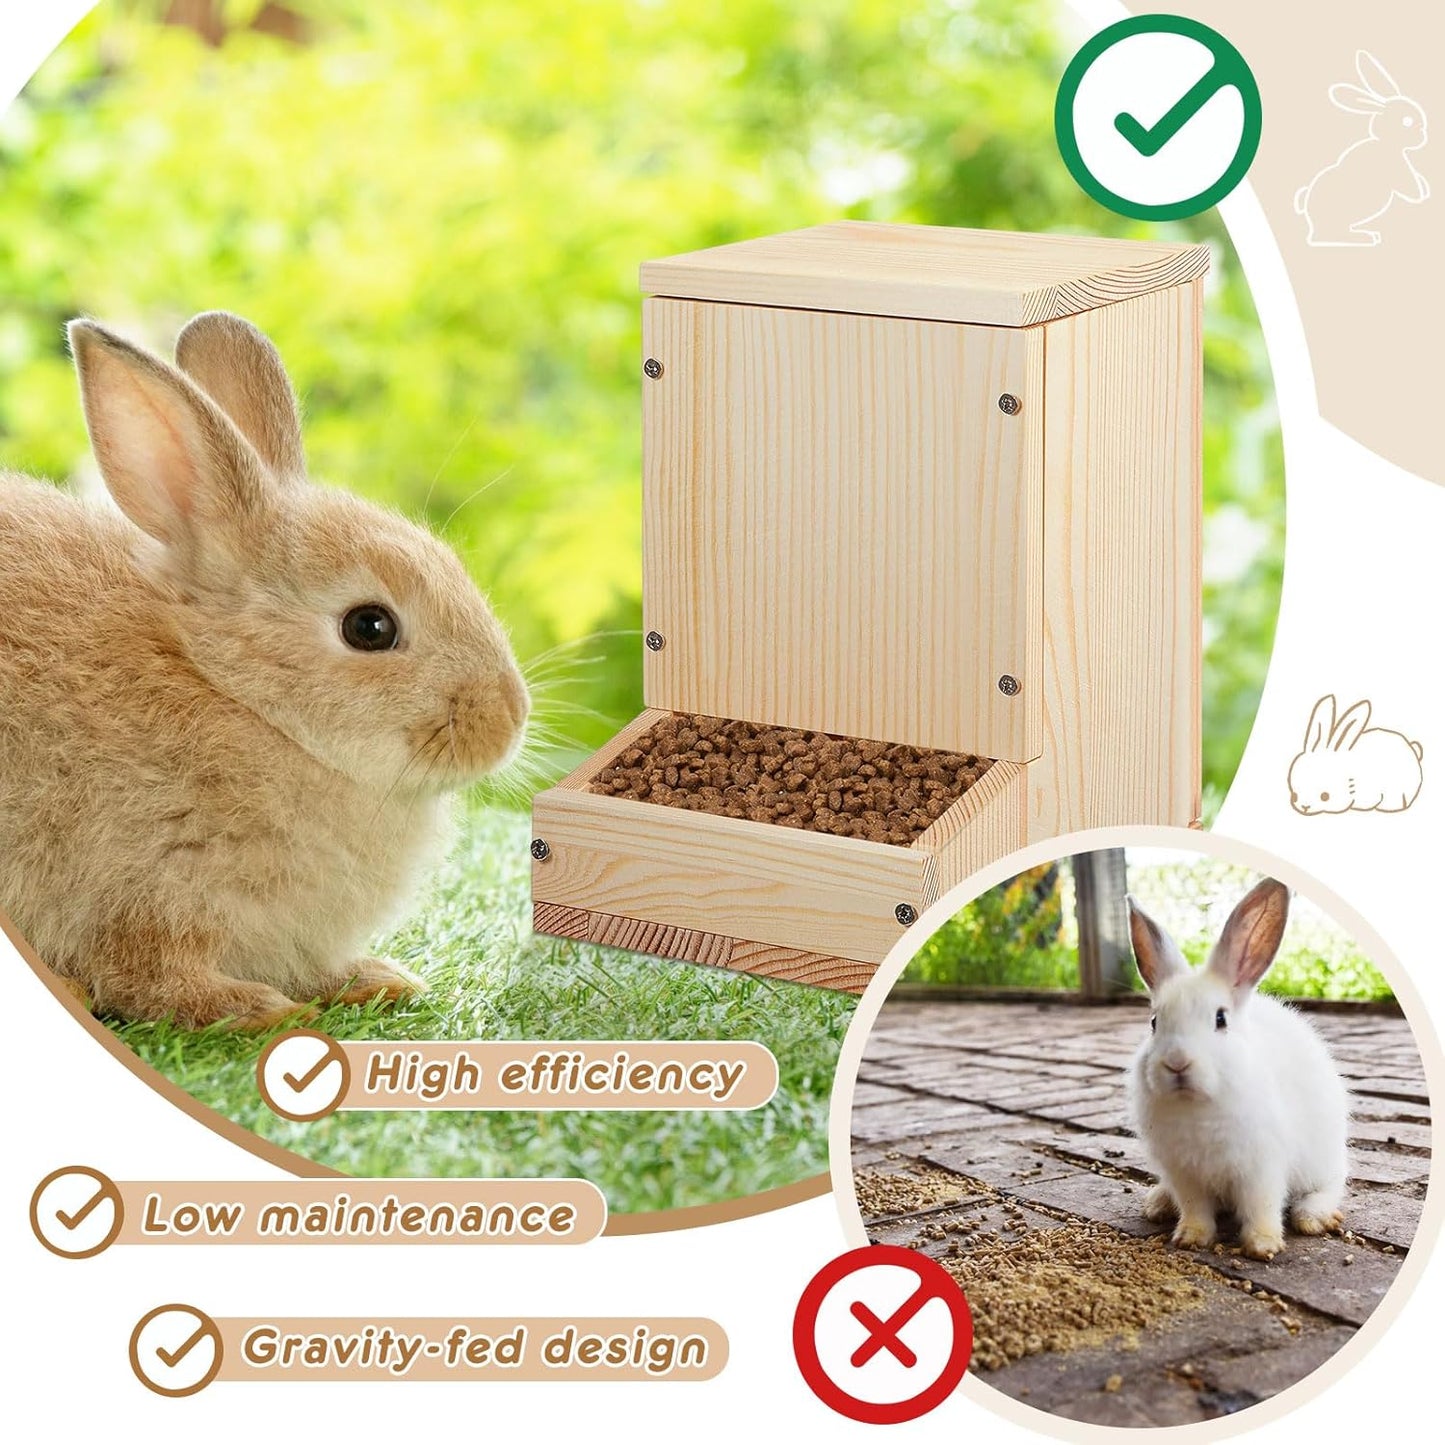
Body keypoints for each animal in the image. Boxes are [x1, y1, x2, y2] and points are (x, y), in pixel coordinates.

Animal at [0, 313, 529, 1028]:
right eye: (370, 627)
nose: (508, 718)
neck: (234, 693)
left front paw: (376, 981)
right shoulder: (148, 892)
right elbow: (155, 974)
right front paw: (262, 1011)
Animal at [1126, 879, 1349, 1261]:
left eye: (1220, 1019)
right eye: (1154, 1022)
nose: (1177, 1062)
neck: (1197, 1106)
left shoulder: (1262, 1168)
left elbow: (1262, 1206)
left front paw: (1263, 1245)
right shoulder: (1185, 1174)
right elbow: (1195, 1208)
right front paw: (1190, 1238)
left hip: (1324, 1159)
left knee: (1331, 1185)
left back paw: (1313, 1217)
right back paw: (1158, 1203)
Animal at [1294, 51, 1429, 246]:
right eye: (1407, 121)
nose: (1423, 133)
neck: (1387, 142)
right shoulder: (1397, 169)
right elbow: (1411, 188)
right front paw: (1423, 189)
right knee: (1328, 236)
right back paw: (1364, 237)